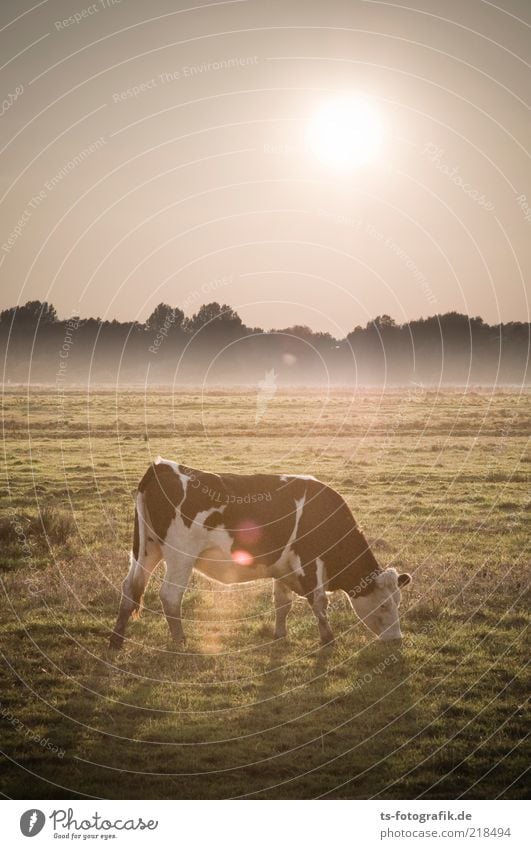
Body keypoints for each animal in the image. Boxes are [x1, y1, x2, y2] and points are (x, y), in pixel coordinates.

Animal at [110, 458, 414, 648]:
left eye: (399, 603)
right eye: (384, 605)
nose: (397, 640)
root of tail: (162, 466)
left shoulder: (283, 567)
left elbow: (282, 603)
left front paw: (279, 634)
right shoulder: (309, 563)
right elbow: (319, 602)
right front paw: (328, 640)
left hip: (146, 549)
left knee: (130, 588)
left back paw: (117, 639)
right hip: (180, 557)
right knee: (170, 596)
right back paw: (180, 641)